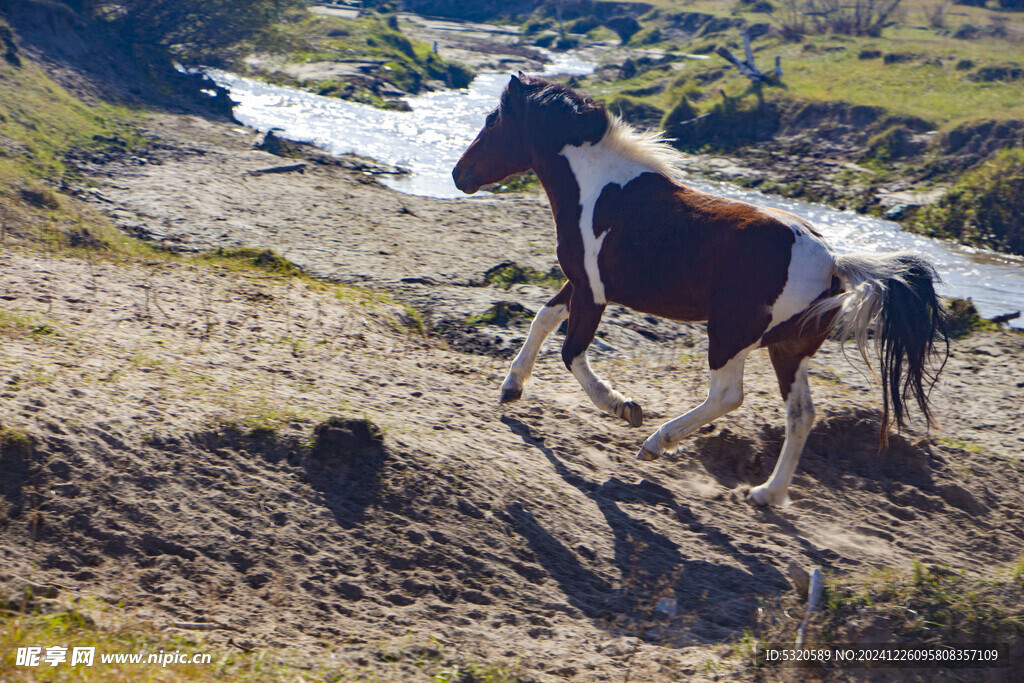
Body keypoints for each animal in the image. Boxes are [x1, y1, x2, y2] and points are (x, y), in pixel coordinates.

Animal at [452, 74, 946, 505]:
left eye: (493, 121)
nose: (459, 175)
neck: (597, 189)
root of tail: (833, 264)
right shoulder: (580, 282)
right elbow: (543, 317)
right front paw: (511, 387)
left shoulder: (593, 293)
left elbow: (572, 353)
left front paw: (623, 406)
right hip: (786, 347)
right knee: (801, 415)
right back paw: (766, 494)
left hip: (729, 334)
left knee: (728, 395)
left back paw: (656, 442)